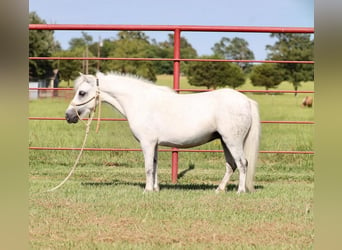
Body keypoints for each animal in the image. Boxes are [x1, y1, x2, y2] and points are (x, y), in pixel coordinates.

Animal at [64, 72, 260, 193]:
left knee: (242, 163)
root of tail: (246, 100)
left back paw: (240, 191)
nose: (68, 115)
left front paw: (147, 190)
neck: (139, 101)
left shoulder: (147, 143)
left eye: (82, 93)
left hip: (232, 141)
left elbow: (148, 167)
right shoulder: (155, 144)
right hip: (225, 141)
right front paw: (156, 188)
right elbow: (155, 165)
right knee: (231, 165)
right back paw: (219, 189)